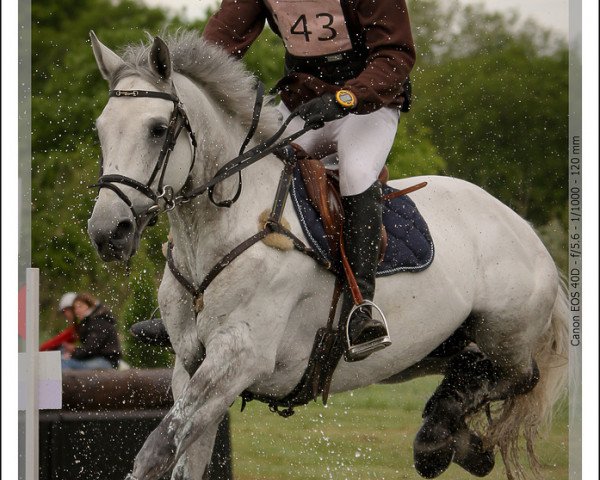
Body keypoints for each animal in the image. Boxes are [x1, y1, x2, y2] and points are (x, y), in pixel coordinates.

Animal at [88, 31, 568, 480]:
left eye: (157, 129)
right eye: (101, 129)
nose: (108, 232)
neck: (223, 227)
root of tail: (523, 227)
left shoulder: (239, 356)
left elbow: (156, 450)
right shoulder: (191, 366)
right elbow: (183, 455)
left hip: (503, 330)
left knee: (519, 375)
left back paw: (445, 439)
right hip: (442, 343)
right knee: (470, 369)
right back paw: (454, 440)